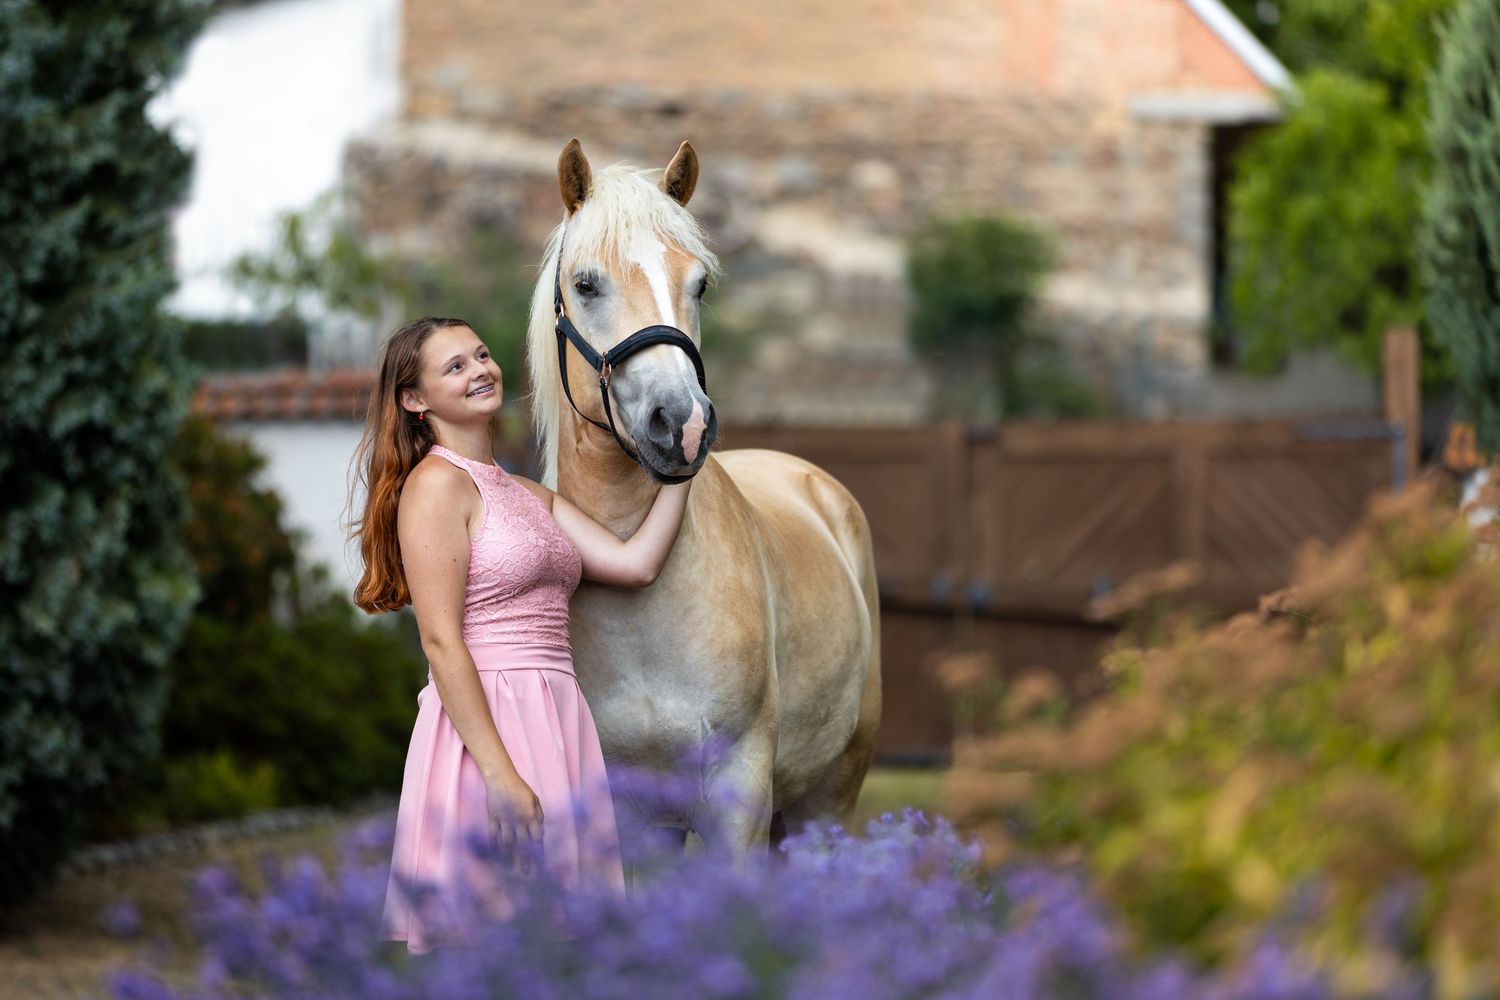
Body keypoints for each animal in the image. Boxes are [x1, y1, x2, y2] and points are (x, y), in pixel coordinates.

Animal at [522, 138, 882, 855]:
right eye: (586, 283)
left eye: (700, 284)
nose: (681, 422)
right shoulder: (633, 814)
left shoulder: (736, 794)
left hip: (829, 801)